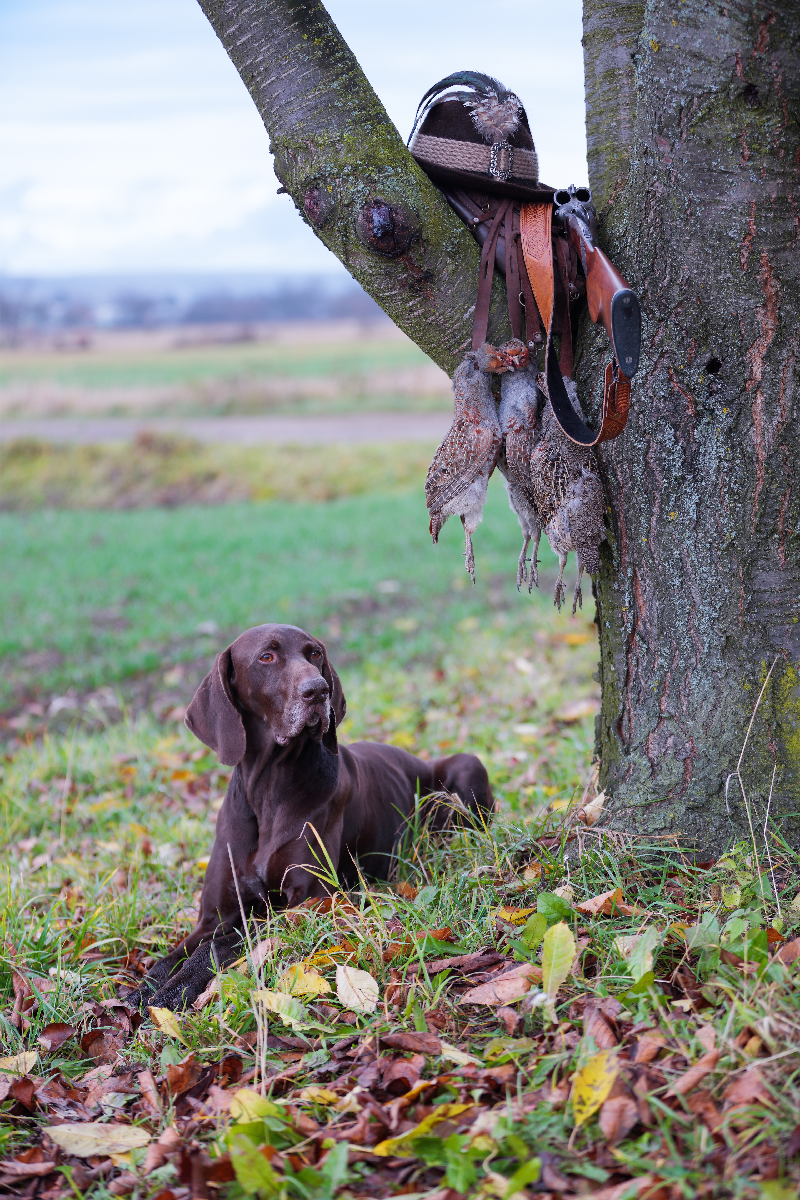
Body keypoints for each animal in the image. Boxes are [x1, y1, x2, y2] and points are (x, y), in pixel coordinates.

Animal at [130, 624, 494, 1008]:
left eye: (314, 654)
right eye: (267, 656)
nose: (318, 690)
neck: (269, 790)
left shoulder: (307, 902)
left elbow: (218, 946)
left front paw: (178, 987)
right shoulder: (214, 916)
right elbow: (173, 956)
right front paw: (145, 988)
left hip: (468, 764)